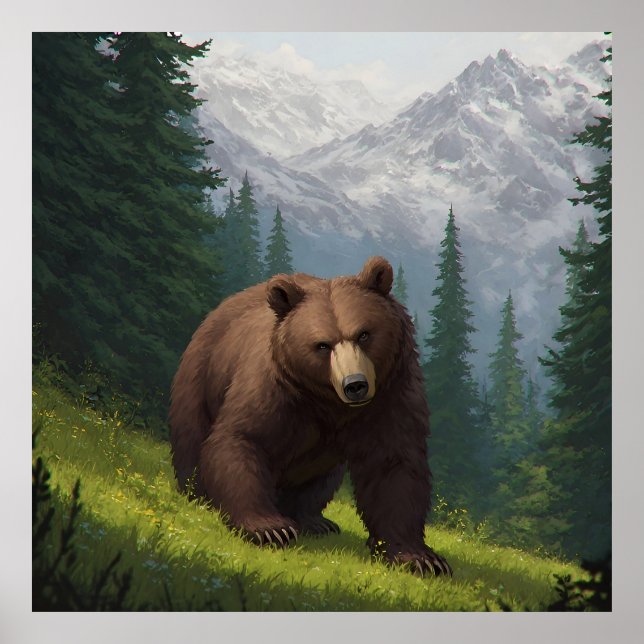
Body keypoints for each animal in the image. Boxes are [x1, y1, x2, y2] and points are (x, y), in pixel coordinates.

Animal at [169, 256, 451, 577]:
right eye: (323, 345)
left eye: (364, 334)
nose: (355, 384)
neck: (328, 402)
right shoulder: (274, 389)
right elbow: (243, 438)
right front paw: (270, 528)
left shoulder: (391, 394)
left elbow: (393, 465)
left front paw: (420, 557)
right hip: (201, 376)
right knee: (192, 438)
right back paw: (199, 493)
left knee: (320, 479)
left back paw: (314, 520)